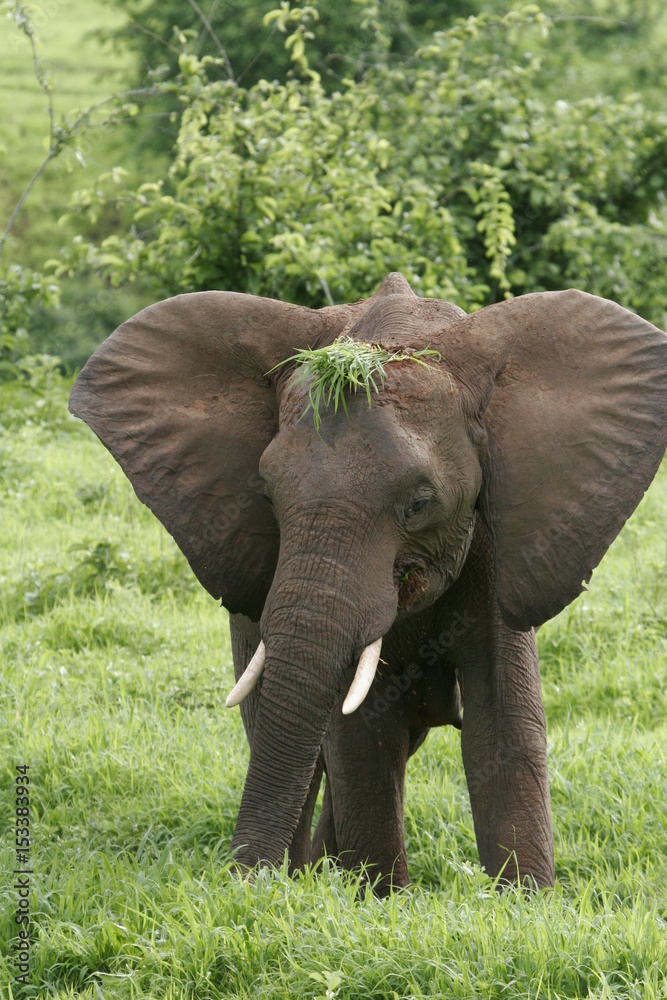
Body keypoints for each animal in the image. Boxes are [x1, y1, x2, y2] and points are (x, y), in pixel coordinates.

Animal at [69, 272, 667, 895]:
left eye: (420, 504)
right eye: (266, 497)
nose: (240, 887)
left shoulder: (502, 545)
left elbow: (503, 725)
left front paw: (524, 906)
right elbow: (362, 737)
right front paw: (379, 902)